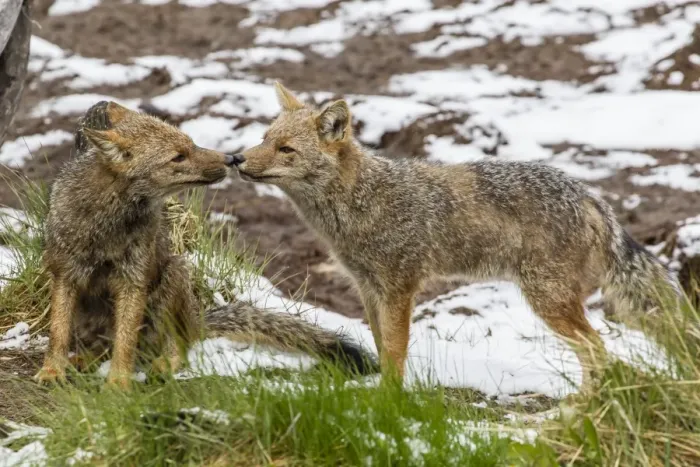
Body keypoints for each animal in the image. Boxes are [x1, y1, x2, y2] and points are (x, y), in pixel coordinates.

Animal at [34, 100, 377, 389]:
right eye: (178, 156)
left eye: (191, 144)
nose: (231, 158)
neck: (107, 225)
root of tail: (195, 320)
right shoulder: (65, 275)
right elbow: (58, 332)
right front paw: (52, 370)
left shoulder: (133, 280)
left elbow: (125, 342)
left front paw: (118, 382)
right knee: (102, 347)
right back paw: (83, 360)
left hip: (173, 276)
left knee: (176, 347)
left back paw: (162, 364)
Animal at [232, 82, 681, 391]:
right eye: (265, 139)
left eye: (286, 150)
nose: (235, 159)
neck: (361, 201)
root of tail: (591, 196)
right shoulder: (368, 289)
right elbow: (380, 346)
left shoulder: (399, 289)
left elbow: (394, 352)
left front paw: (388, 401)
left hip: (548, 302)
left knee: (598, 349)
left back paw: (579, 410)